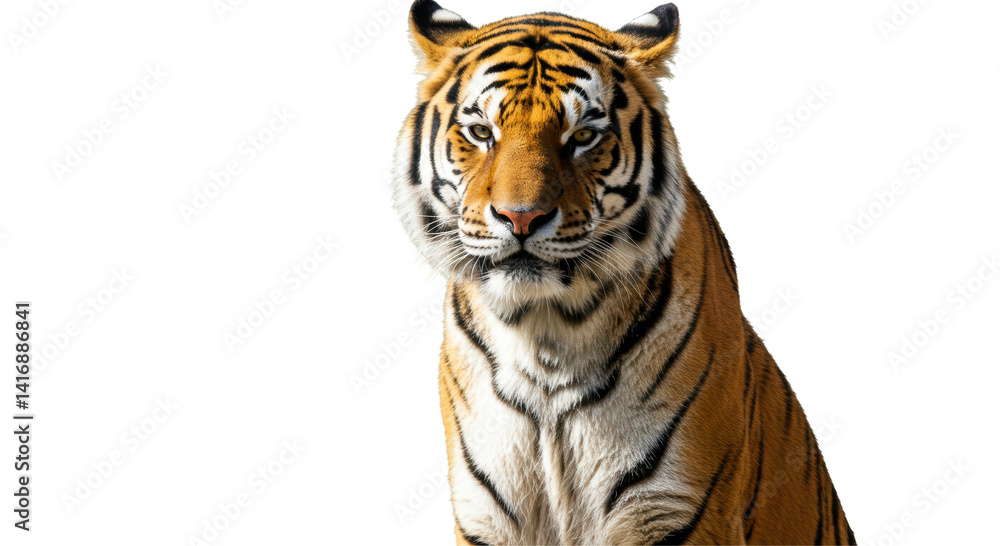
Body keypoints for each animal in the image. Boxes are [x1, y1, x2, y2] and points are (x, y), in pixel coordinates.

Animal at [390, 1, 854, 544]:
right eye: (482, 133)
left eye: (583, 137)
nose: (521, 217)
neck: (545, 334)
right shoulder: (488, 516)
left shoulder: (675, 508)